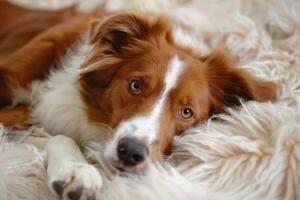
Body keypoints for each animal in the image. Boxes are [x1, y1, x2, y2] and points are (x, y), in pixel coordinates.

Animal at [0, 1, 276, 200]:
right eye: (136, 85)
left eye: (186, 112)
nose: (132, 152)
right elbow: (50, 132)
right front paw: (76, 170)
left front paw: (74, 169)